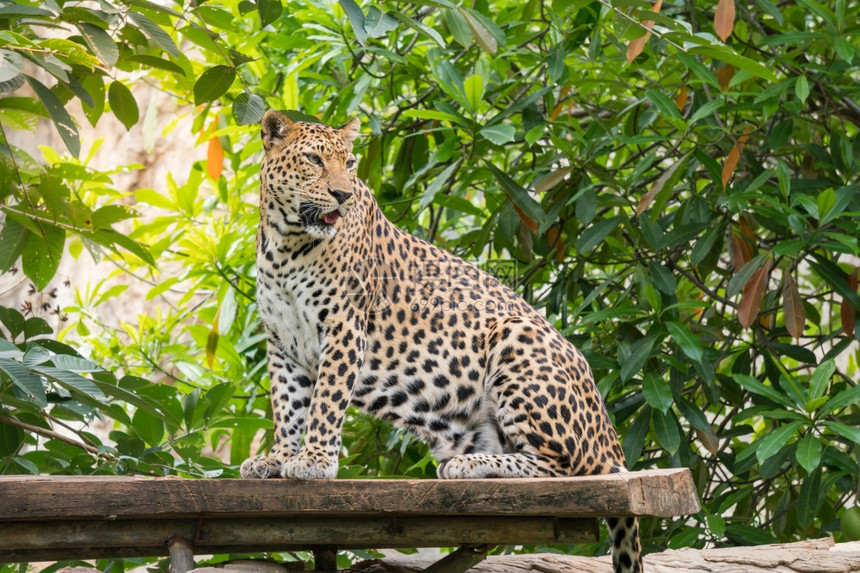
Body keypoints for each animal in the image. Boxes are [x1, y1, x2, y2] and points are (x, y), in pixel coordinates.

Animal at [239, 109, 640, 568]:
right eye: (313, 160)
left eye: (351, 164)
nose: (341, 195)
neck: (286, 243)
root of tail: (611, 439)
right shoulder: (281, 341)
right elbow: (288, 405)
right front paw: (278, 459)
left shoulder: (343, 328)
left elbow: (325, 400)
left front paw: (315, 461)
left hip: (515, 336)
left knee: (564, 467)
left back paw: (469, 467)